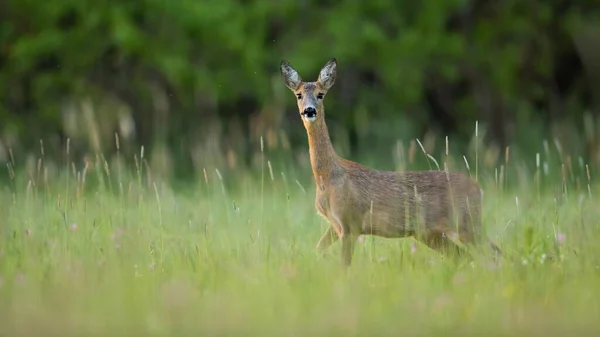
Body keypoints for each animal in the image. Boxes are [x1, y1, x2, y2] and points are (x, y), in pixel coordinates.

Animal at [282, 57, 496, 266]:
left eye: (320, 94)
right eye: (299, 95)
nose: (309, 110)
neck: (327, 177)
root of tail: (478, 188)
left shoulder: (350, 222)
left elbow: (344, 265)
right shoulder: (335, 225)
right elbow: (317, 250)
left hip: (467, 223)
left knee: (492, 253)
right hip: (432, 233)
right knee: (464, 256)